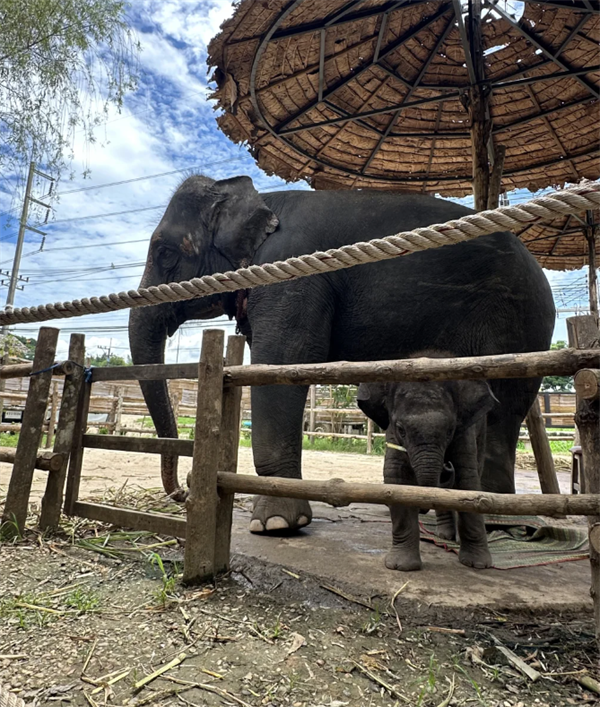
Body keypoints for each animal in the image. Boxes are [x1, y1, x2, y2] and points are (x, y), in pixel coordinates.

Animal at [129, 176, 556, 532]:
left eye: (165, 253)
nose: (183, 490)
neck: (259, 199)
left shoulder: (292, 276)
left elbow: (283, 361)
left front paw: (277, 525)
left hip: (517, 319)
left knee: (503, 404)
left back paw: (497, 520)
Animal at [358, 362, 494, 572]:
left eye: (450, 430)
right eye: (401, 430)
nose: (446, 465)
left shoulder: (465, 432)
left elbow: (467, 478)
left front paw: (477, 565)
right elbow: (396, 478)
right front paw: (402, 567)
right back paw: (445, 535)